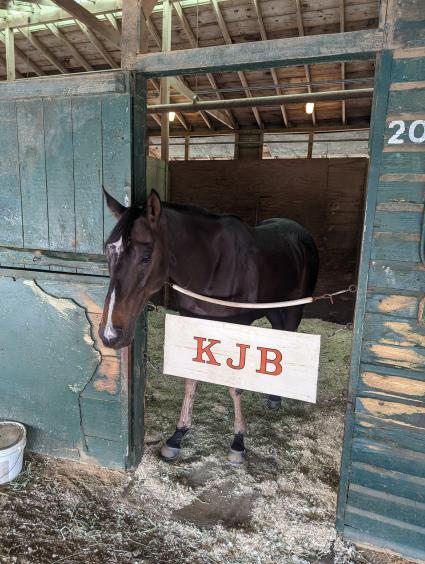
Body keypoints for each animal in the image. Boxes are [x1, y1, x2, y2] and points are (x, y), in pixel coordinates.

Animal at [100, 189, 318, 462]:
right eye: (108, 252)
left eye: (146, 257)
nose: (110, 334)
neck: (211, 265)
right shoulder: (193, 322)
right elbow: (191, 379)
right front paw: (177, 436)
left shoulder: (239, 327)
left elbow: (235, 387)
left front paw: (238, 442)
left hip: (293, 309)